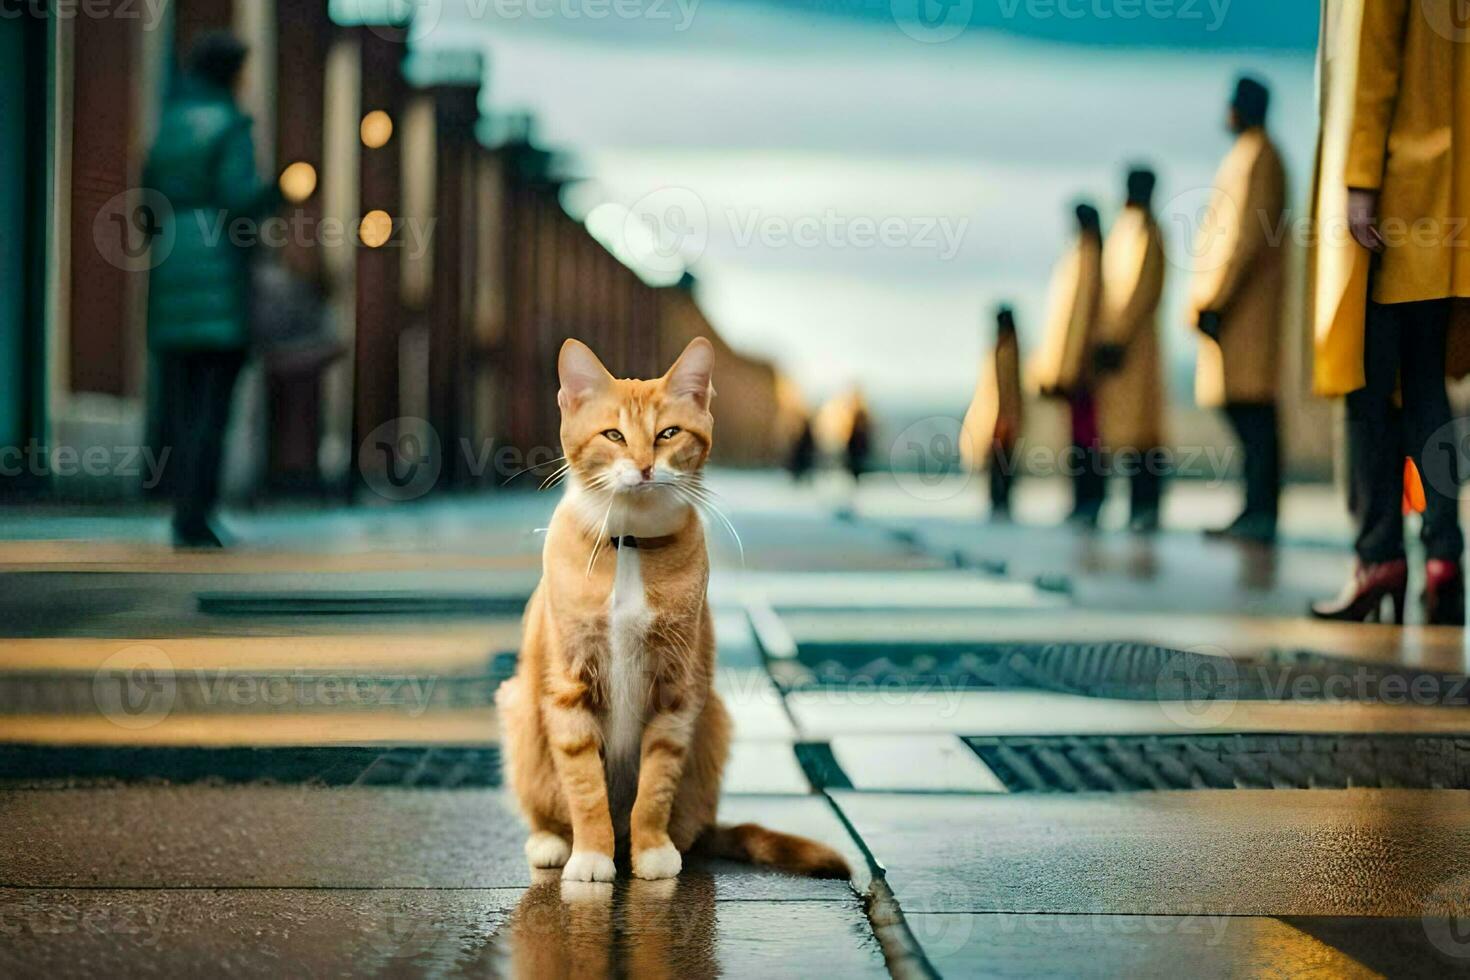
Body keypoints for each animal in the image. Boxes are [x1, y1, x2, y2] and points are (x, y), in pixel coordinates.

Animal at [499, 337, 852, 881]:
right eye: (614, 435)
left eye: (667, 433)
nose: (645, 466)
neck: (628, 542)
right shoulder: (567, 687)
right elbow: (584, 785)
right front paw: (592, 854)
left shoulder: (676, 690)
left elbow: (656, 783)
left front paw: (652, 849)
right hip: (520, 708)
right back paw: (553, 841)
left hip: (716, 719)